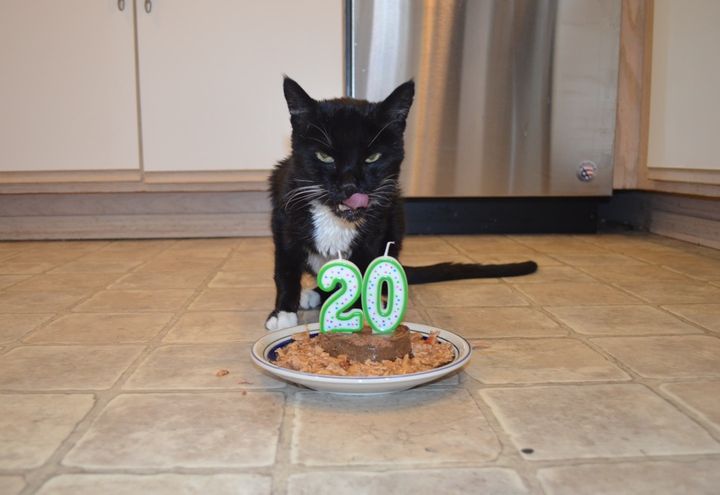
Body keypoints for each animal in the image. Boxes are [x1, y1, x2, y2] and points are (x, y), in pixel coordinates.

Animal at [264, 78, 536, 334]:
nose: (350, 185)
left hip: (395, 218)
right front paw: (283, 313)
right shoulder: (285, 214)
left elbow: (362, 268)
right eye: (325, 156)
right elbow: (285, 268)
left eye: (372, 157)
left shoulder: (376, 231)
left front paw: (356, 312)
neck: (336, 218)